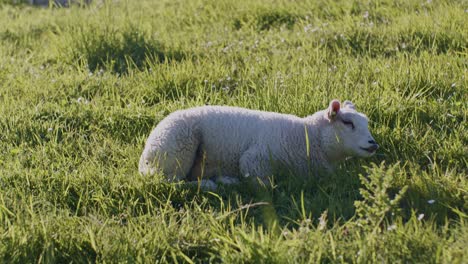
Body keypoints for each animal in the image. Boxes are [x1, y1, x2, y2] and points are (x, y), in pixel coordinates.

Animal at [138, 99, 376, 188]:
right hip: (178, 148)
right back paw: (214, 183)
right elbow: (264, 185)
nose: (373, 144)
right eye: (347, 123)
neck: (306, 135)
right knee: (169, 182)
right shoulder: (255, 158)